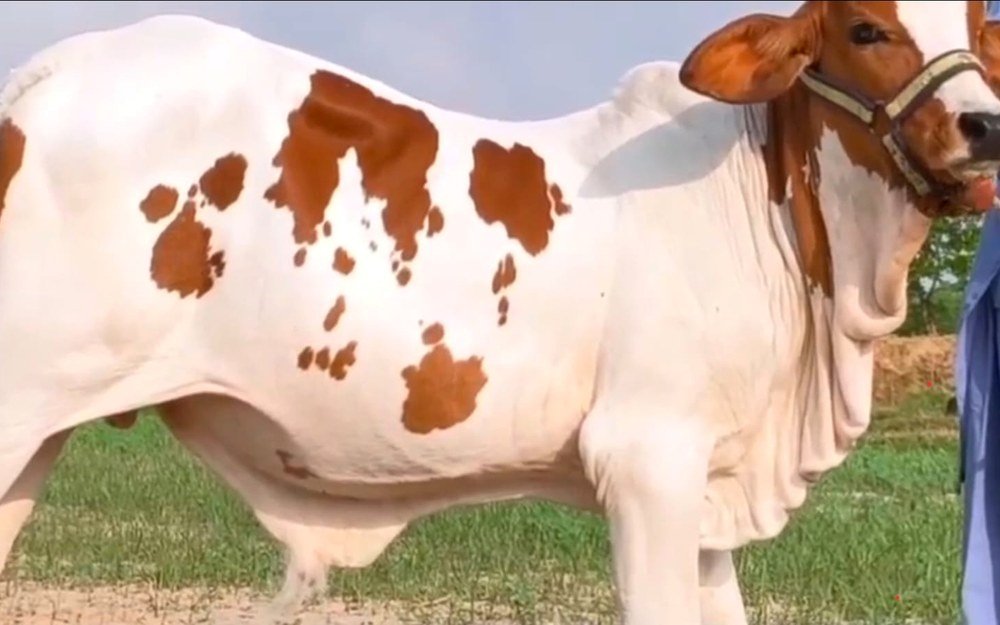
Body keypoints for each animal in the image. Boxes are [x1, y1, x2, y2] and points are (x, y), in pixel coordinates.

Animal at [1, 2, 999, 624]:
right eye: (868, 28)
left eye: (981, 33)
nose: (986, 126)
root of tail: (46, 77)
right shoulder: (649, 459)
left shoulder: (714, 481)